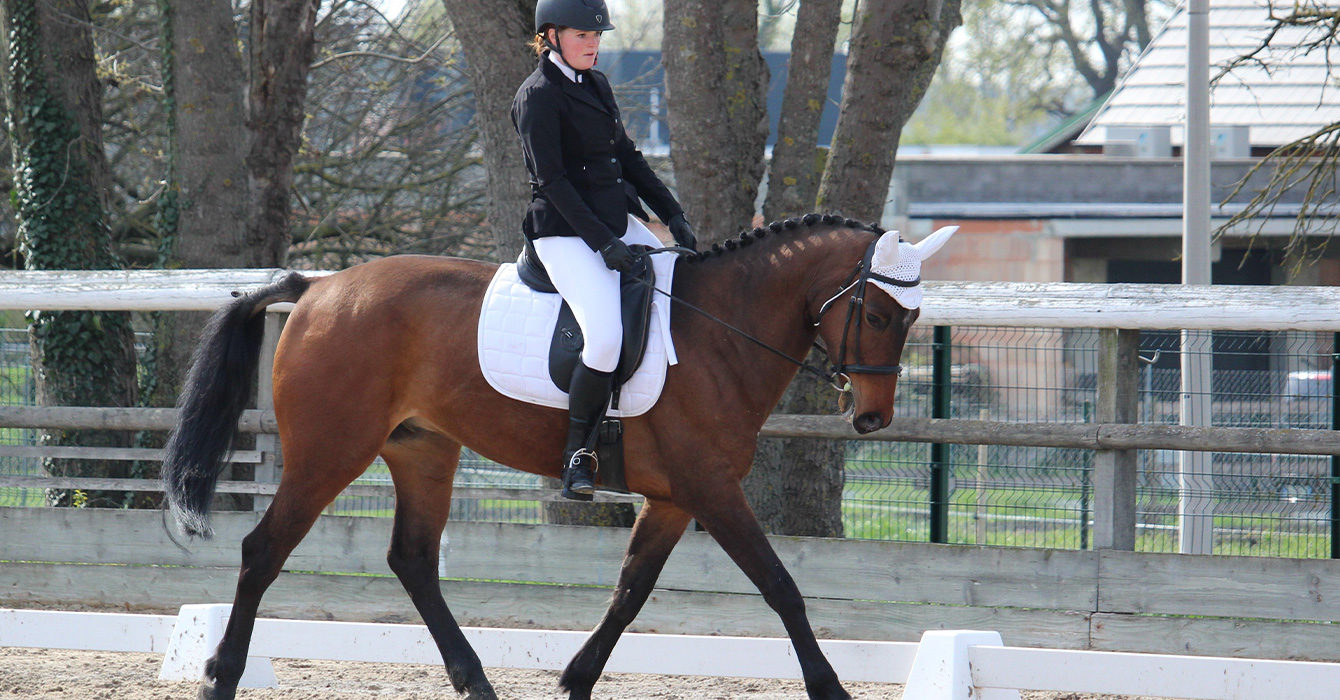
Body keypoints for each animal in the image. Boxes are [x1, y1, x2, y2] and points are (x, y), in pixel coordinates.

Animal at [159, 213, 954, 697]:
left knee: (412, 559)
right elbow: (781, 586)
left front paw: (575, 678)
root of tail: (319, 288)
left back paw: (475, 679)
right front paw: (830, 686)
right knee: (264, 550)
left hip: (423, 451)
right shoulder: (711, 488)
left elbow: (630, 592)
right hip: (330, 451)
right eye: (875, 313)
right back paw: (220, 675)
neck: (720, 331)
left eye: (912, 316)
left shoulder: (675, 498)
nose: (874, 418)